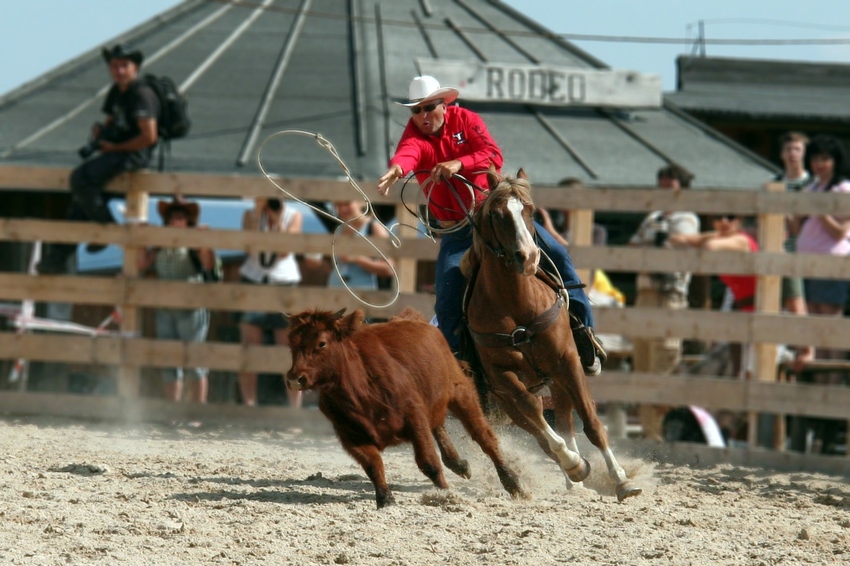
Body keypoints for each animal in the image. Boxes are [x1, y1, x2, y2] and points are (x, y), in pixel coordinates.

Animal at [284, 308, 524, 512]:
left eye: (321, 343)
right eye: (291, 345)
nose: (295, 379)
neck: (360, 387)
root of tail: (412, 318)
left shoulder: (415, 419)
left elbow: (429, 463)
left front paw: (446, 494)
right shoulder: (350, 436)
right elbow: (373, 465)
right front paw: (385, 499)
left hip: (460, 391)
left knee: (484, 437)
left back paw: (513, 482)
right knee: (439, 425)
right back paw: (460, 464)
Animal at [460, 171, 640, 504]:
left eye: (530, 210)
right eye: (496, 214)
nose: (529, 257)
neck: (516, 303)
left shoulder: (566, 362)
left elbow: (591, 423)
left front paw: (622, 481)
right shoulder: (504, 378)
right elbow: (535, 413)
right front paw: (574, 463)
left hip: (557, 380)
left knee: (567, 420)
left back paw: (578, 482)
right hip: (506, 398)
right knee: (541, 430)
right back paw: (573, 469)